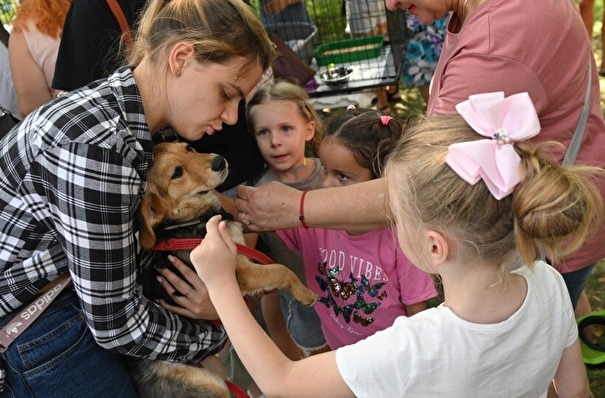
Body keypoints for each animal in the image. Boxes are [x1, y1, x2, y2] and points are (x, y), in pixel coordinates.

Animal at [130, 143, 316, 398]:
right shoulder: (239, 270)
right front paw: (304, 294)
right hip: (213, 388)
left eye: (188, 147)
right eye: (176, 173)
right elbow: (280, 270)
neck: (195, 220)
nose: (220, 161)